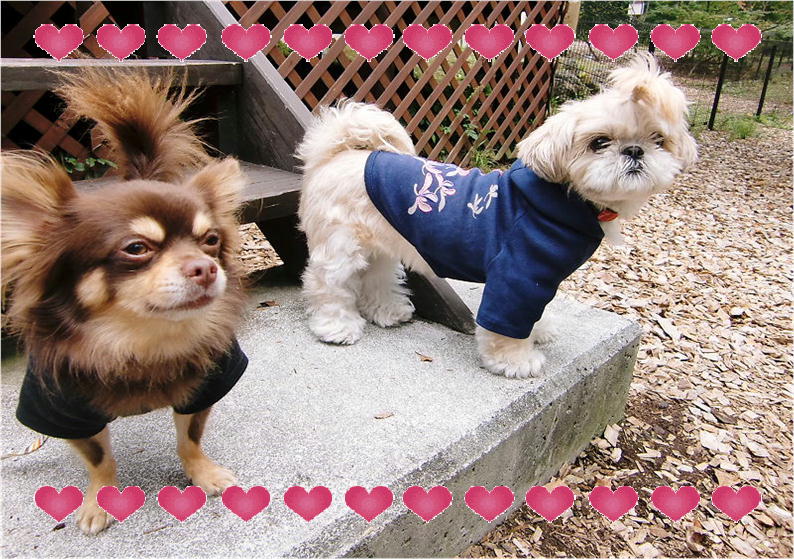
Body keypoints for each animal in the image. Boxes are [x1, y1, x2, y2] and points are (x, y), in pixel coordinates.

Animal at [1, 68, 248, 534]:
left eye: (210, 240)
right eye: (136, 248)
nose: (206, 267)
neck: (142, 341)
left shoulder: (206, 385)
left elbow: (190, 438)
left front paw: (203, 473)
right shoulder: (64, 412)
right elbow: (99, 460)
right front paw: (100, 501)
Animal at [296, 54, 697, 378]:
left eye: (658, 140)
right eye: (599, 142)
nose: (635, 151)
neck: (563, 199)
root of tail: (338, 154)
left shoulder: (540, 281)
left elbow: (536, 312)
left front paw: (538, 330)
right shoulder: (517, 278)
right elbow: (506, 326)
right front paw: (515, 361)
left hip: (382, 245)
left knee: (375, 277)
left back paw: (388, 310)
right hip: (341, 248)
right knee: (327, 284)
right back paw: (336, 326)